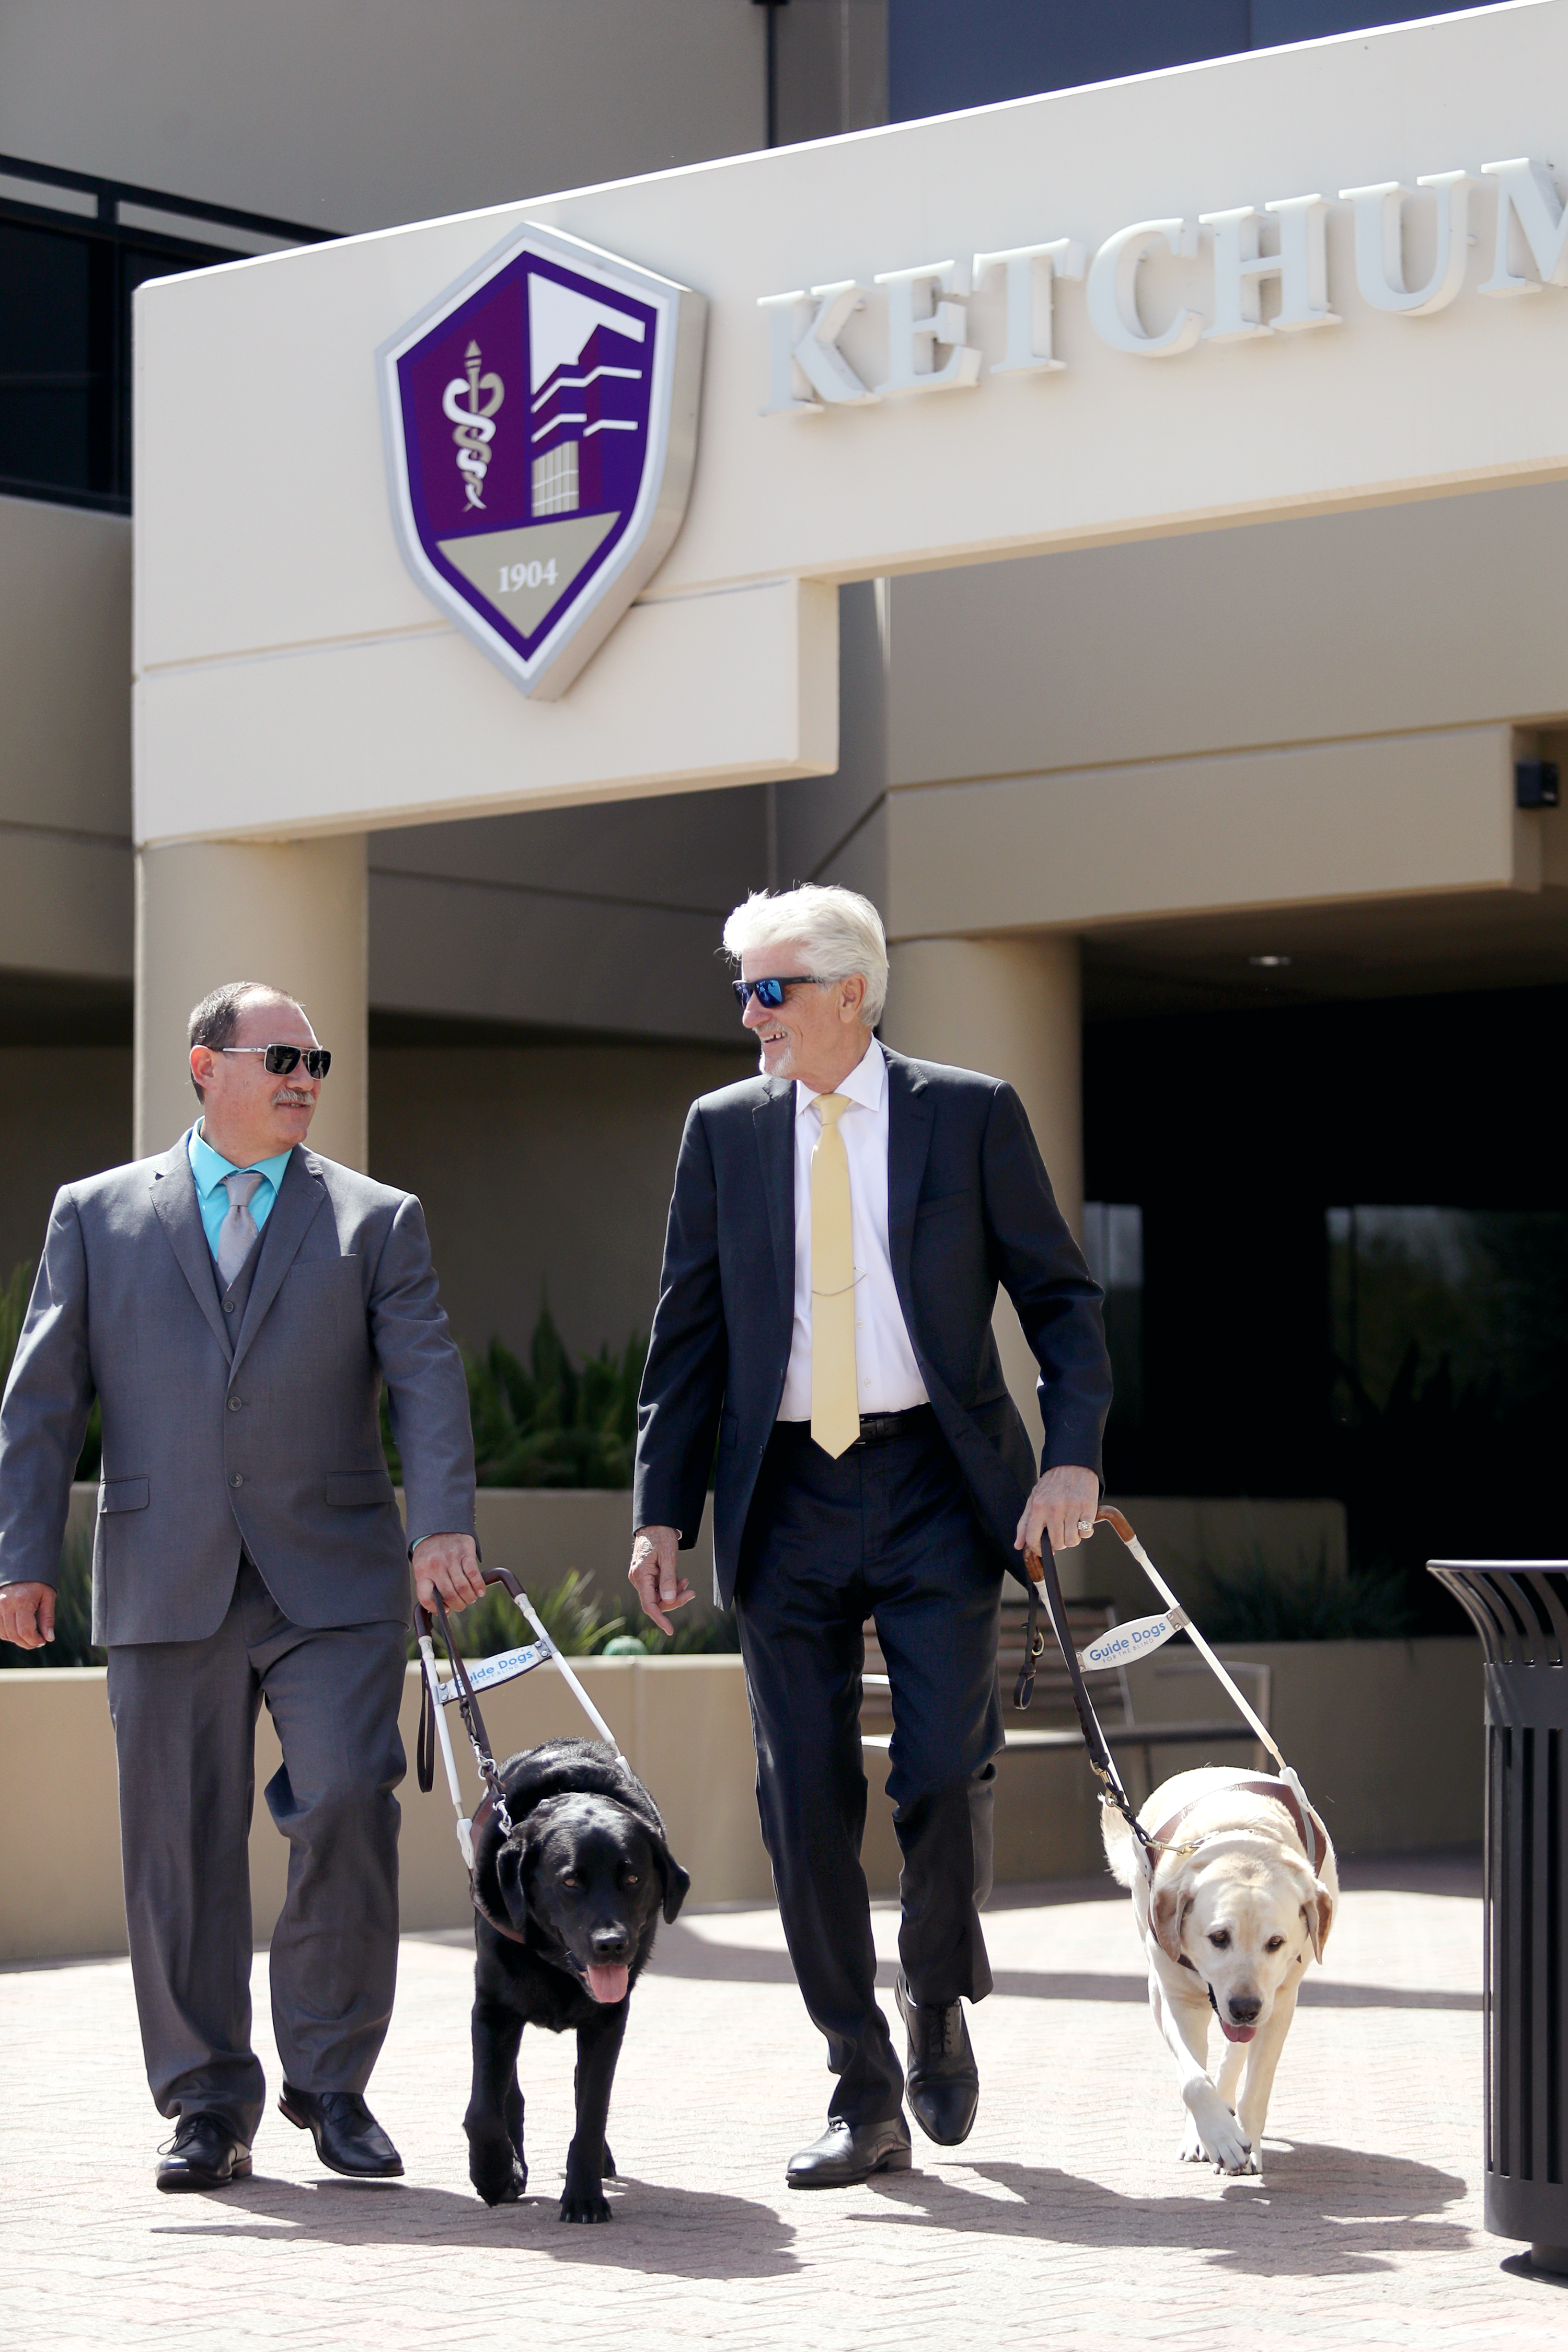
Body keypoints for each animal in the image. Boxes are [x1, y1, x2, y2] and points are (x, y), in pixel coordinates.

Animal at [463, 1731, 691, 2220]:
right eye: (569, 1882)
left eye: (633, 1879)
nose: (611, 1944)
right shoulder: (492, 2009)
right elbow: (485, 2111)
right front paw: (493, 2174)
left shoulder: (608, 2021)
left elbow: (592, 2110)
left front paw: (584, 2195)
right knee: (507, 2093)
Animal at [1104, 1769, 1335, 2164]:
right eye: (1218, 1937)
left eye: (1276, 1943)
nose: (1244, 2008)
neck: (1240, 1840)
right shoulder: (1178, 2002)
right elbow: (1195, 2080)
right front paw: (1218, 2136)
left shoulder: (1280, 2004)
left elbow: (1255, 2089)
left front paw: (1248, 2144)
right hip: (1158, 1983)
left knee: (1234, 2057)